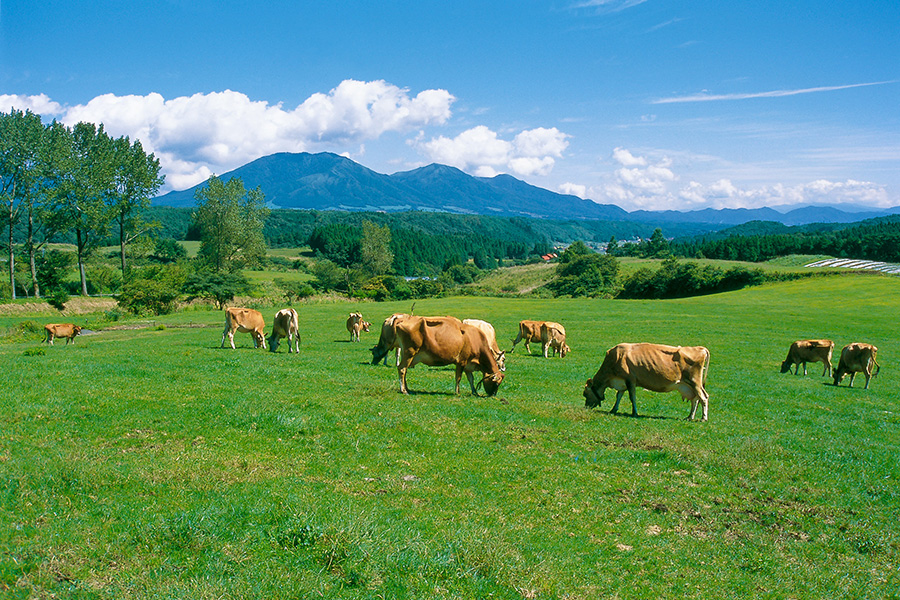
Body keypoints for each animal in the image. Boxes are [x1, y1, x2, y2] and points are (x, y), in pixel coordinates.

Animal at [584, 342, 712, 422]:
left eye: (585, 394)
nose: (586, 407)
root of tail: (700, 348)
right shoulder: (622, 382)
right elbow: (619, 396)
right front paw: (613, 409)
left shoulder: (630, 380)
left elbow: (632, 397)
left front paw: (634, 413)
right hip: (688, 385)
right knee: (695, 399)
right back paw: (690, 417)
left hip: (695, 382)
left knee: (703, 397)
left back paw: (703, 418)